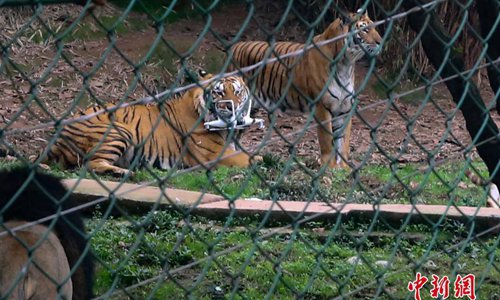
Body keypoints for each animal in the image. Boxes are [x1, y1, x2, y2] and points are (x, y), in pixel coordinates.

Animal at [42, 72, 258, 176]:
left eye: (237, 92)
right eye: (219, 92)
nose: (231, 107)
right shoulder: (215, 155)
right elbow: (250, 158)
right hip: (120, 131)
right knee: (91, 164)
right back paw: (125, 173)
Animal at [229, 9, 380, 169]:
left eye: (375, 27)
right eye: (364, 29)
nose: (380, 41)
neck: (346, 64)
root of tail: (235, 47)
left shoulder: (344, 108)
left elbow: (343, 141)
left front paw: (344, 168)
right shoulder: (322, 107)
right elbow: (327, 140)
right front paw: (330, 167)